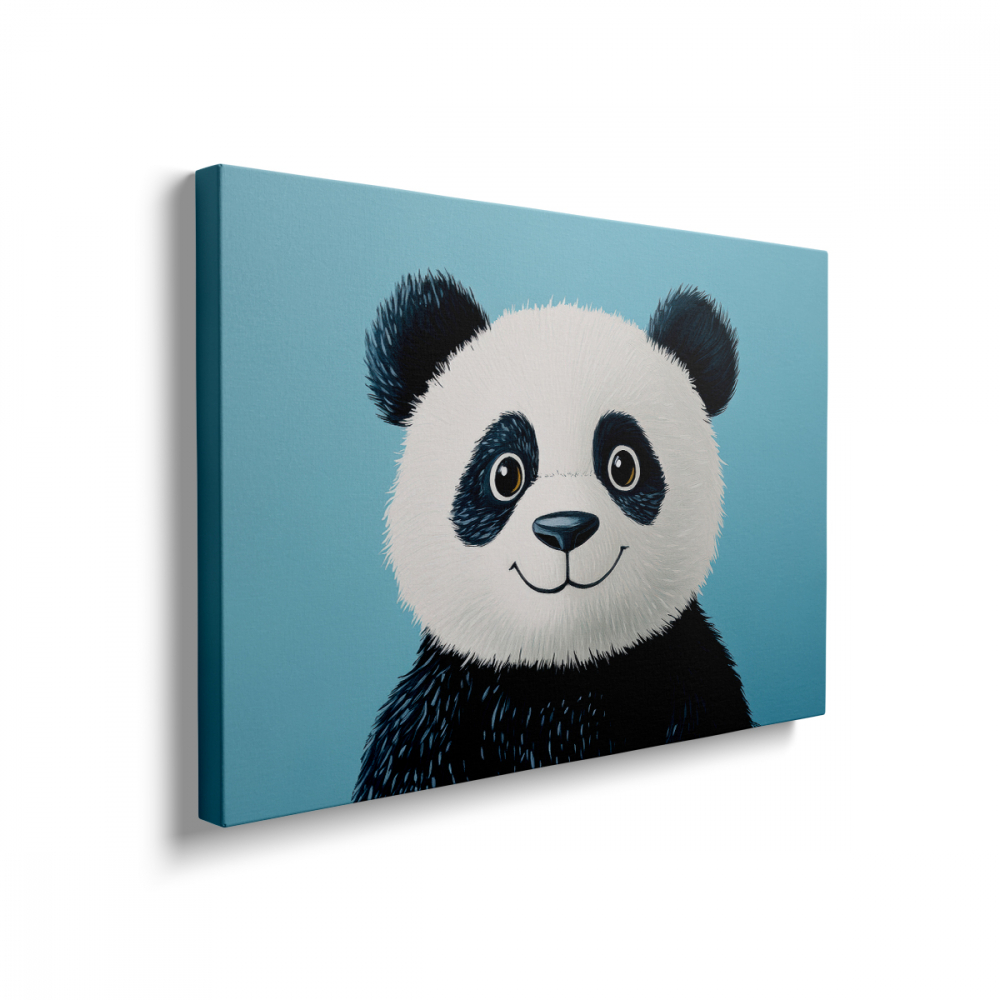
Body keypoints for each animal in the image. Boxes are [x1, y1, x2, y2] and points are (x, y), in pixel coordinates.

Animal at [353, 272, 752, 801]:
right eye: (505, 474)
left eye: (623, 465)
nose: (565, 529)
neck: (562, 668)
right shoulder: (436, 720)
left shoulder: (689, 682)